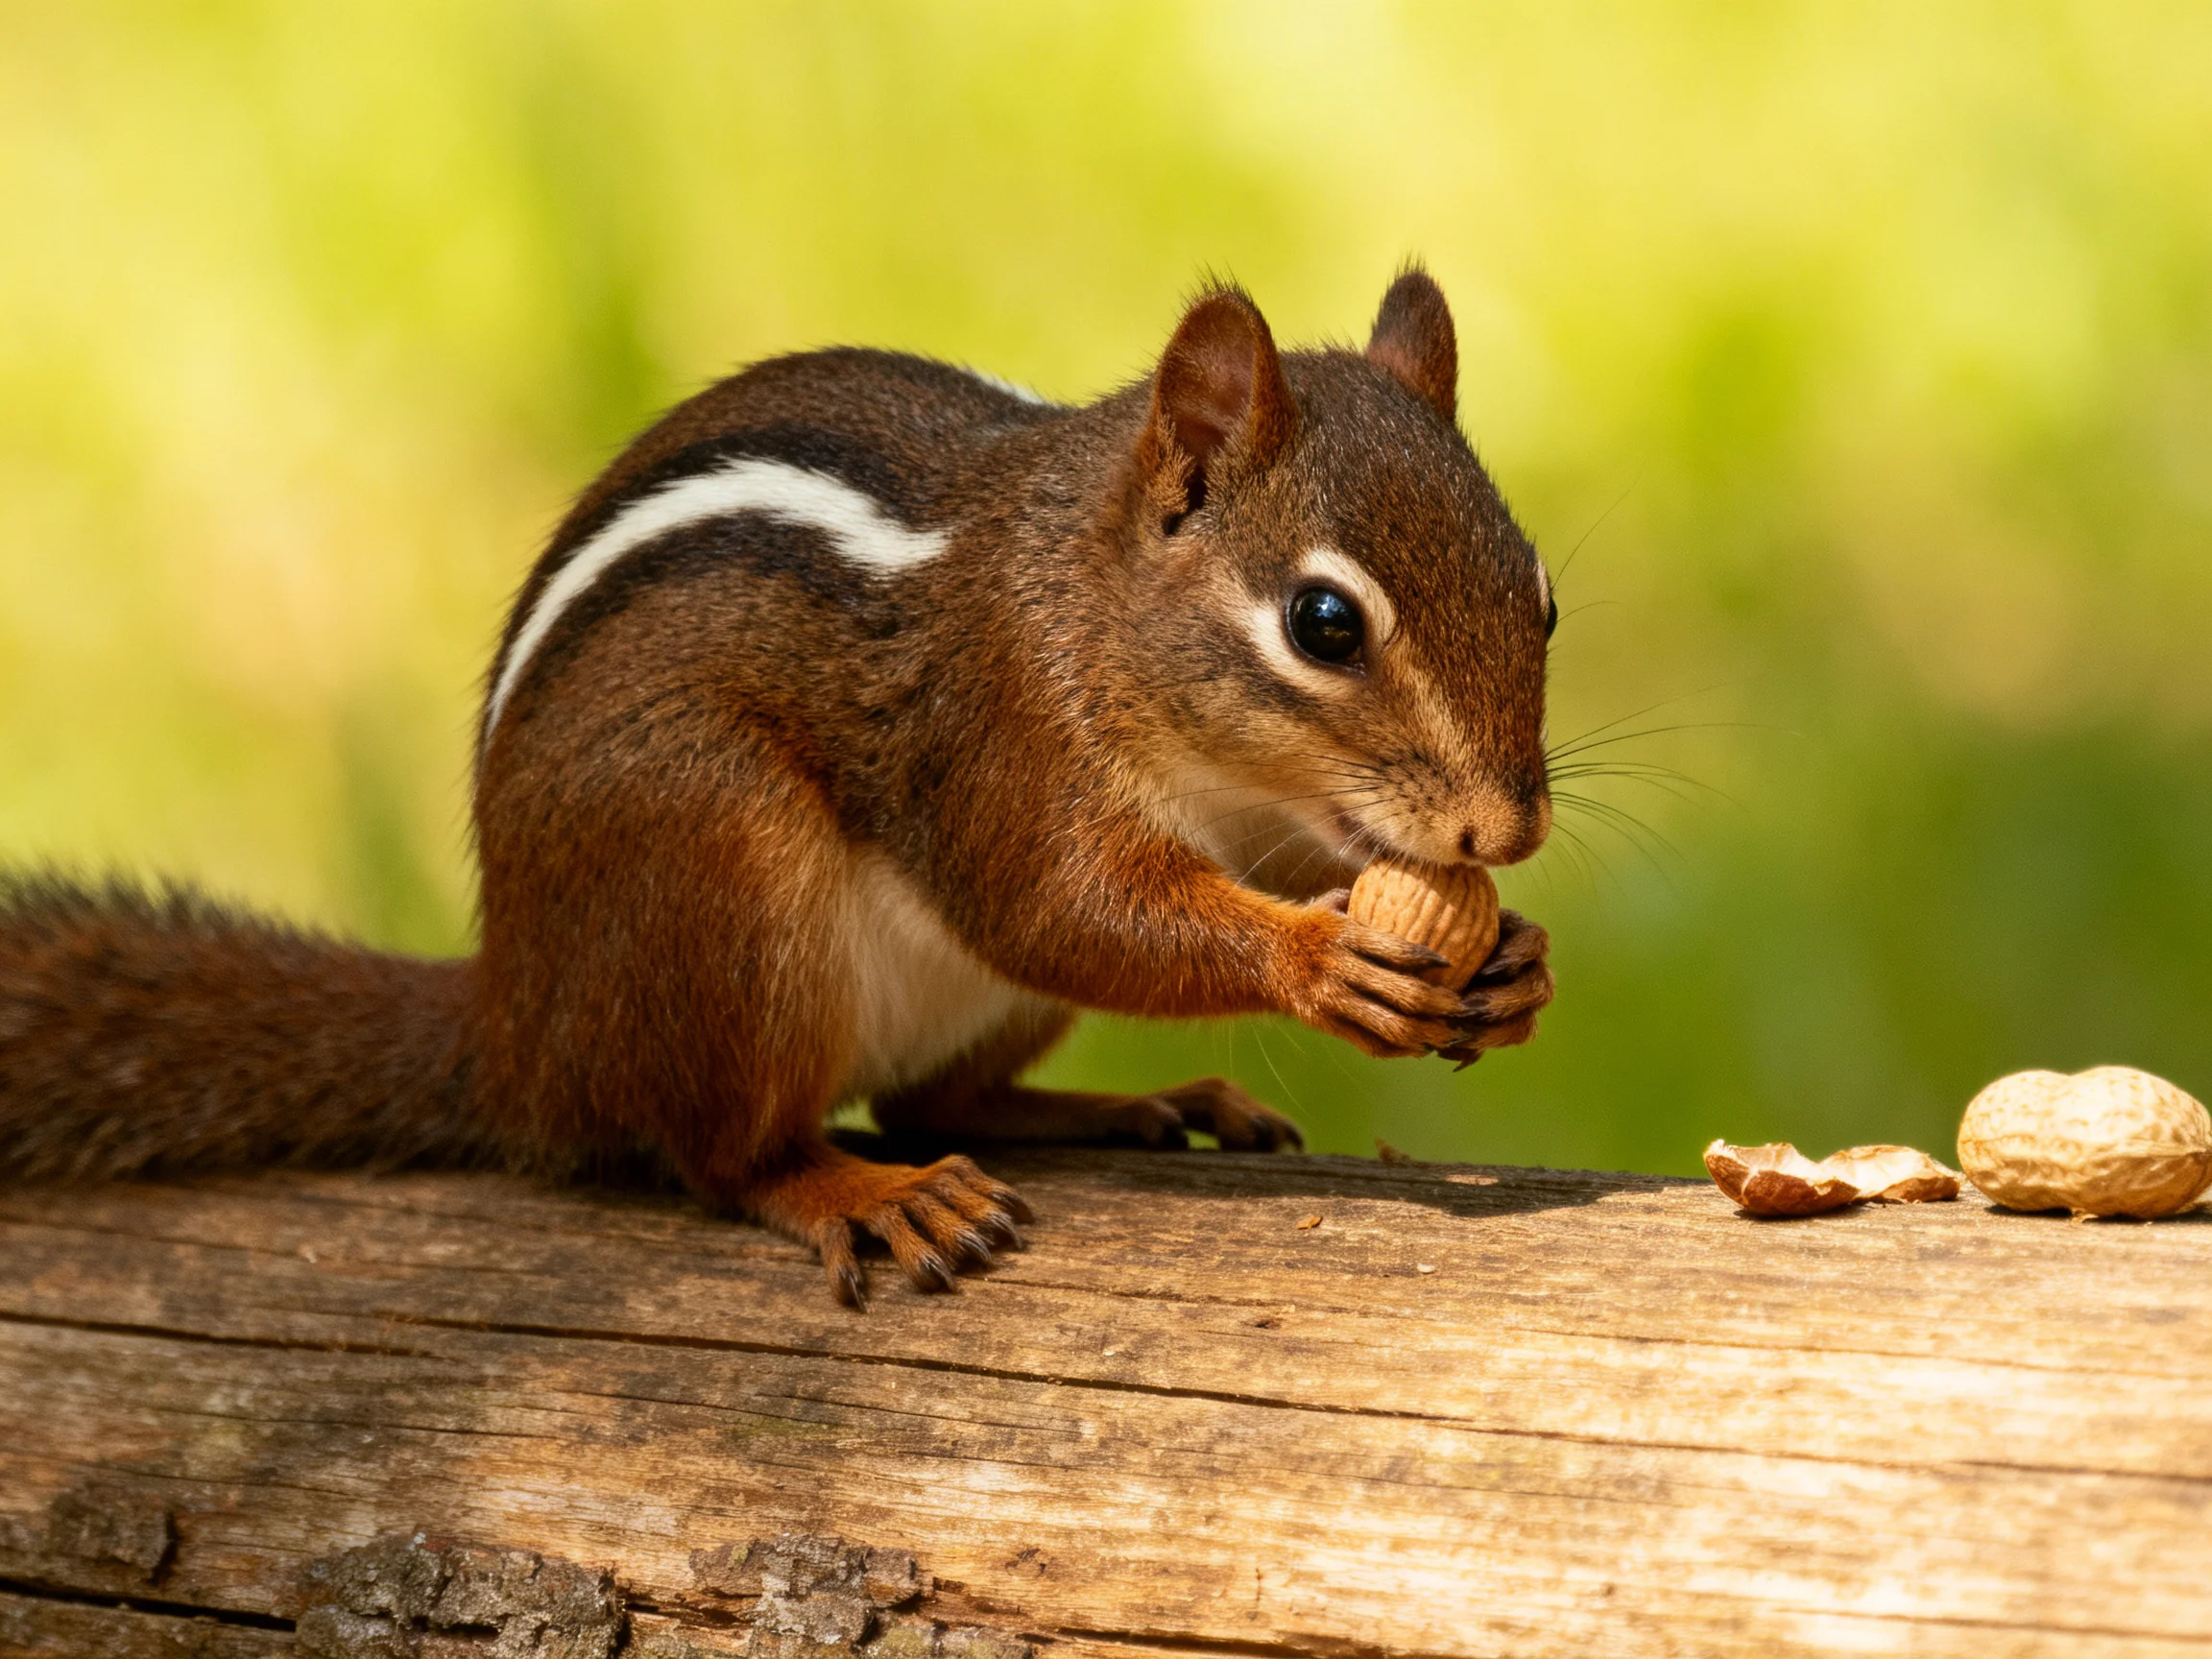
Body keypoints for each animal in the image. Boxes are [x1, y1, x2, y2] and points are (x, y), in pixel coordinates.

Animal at [0, 268, 1556, 1306]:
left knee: (937, 1098)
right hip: (720, 875)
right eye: (1324, 624)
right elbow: (1062, 906)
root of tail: (520, 1027)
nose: (1509, 827)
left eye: (1540, 594)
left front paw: (1512, 963)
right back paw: (862, 1194)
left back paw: (1137, 1108)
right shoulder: (995, 733)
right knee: (726, 1155)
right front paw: (1319, 961)